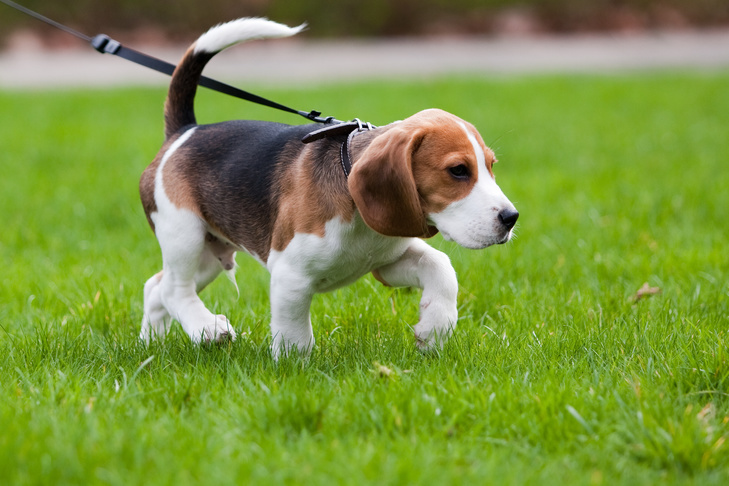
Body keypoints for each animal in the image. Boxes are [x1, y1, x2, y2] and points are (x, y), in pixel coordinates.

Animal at [138, 18, 516, 356]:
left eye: (491, 166)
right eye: (458, 171)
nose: (511, 218)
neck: (358, 214)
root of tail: (185, 131)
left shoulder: (387, 262)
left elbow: (440, 267)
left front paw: (435, 329)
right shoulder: (290, 275)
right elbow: (295, 335)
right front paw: (293, 369)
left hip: (210, 253)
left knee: (155, 287)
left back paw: (151, 344)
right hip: (184, 233)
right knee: (174, 290)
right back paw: (207, 328)